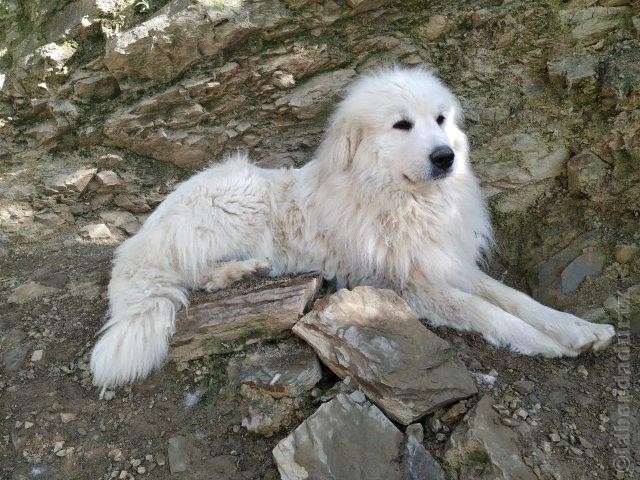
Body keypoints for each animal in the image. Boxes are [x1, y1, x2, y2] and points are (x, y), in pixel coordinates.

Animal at [91, 67, 616, 388]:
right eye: (402, 125)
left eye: (440, 119)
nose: (445, 156)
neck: (401, 200)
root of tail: (140, 239)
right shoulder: (409, 286)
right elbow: (489, 313)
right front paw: (545, 343)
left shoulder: (444, 263)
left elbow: (516, 299)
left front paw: (577, 328)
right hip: (237, 199)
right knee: (198, 275)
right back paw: (242, 271)